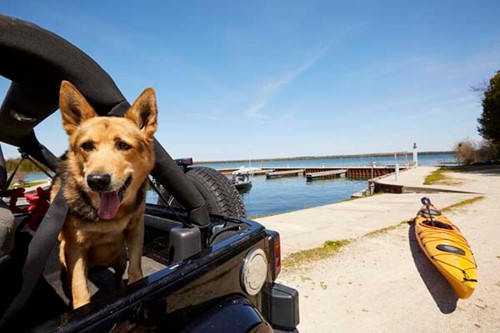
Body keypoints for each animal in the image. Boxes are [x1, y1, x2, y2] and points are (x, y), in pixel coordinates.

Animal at [51, 81, 157, 308]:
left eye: (123, 145)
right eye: (87, 146)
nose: (97, 180)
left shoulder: (136, 230)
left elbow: (135, 269)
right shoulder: (75, 247)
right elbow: (79, 289)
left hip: (119, 258)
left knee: (118, 276)